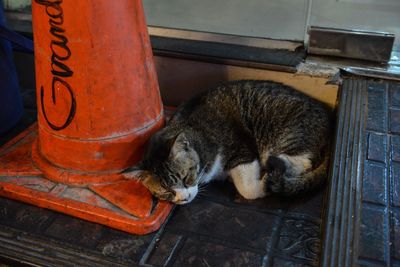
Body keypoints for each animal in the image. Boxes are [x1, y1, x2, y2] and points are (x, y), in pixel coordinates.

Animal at [123, 79, 332, 205]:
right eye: (166, 191)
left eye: (185, 177)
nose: (184, 199)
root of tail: (329, 117)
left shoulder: (242, 150)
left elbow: (247, 188)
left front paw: (263, 183)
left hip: (287, 134)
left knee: (301, 161)